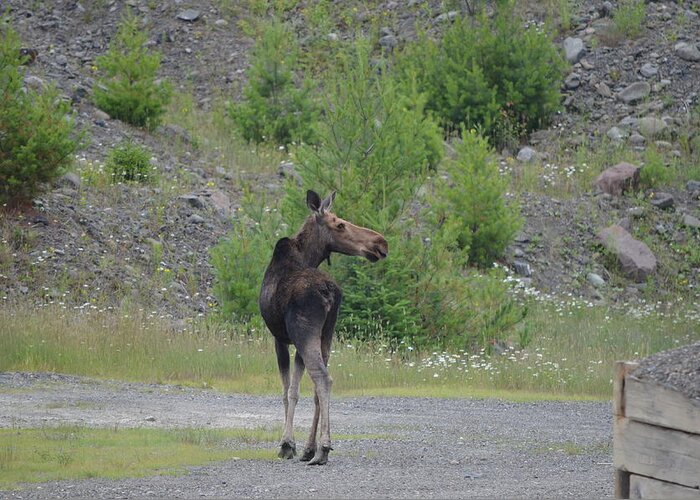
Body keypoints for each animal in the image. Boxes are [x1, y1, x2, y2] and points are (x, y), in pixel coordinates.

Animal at [258, 190, 388, 464]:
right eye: (340, 224)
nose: (381, 244)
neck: (308, 256)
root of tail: (329, 292)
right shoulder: (298, 341)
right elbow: (298, 389)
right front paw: (301, 446)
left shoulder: (280, 338)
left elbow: (287, 391)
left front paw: (287, 444)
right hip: (327, 333)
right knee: (320, 383)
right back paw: (313, 448)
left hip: (305, 331)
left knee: (323, 378)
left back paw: (324, 448)